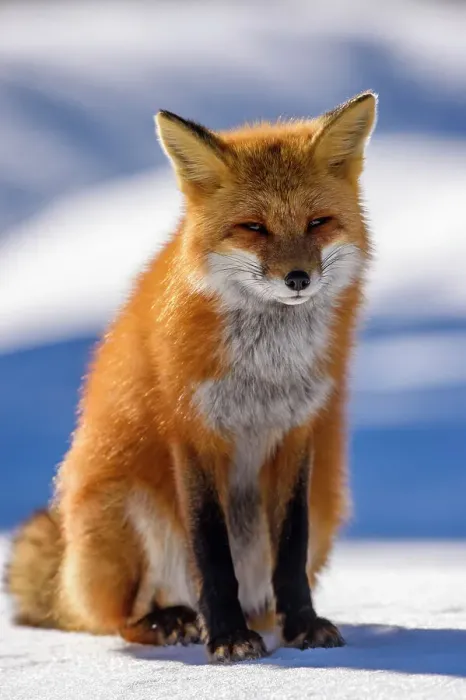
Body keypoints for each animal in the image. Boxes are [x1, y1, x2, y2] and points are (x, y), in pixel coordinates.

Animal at [5, 91, 377, 663]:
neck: (264, 372)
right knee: (116, 619)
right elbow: (212, 553)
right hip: (124, 506)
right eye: (253, 227)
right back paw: (171, 621)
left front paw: (302, 626)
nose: (298, 279)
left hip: (327, 506)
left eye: (318, 222)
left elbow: (290, 552)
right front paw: (225, 637)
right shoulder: (194, 433)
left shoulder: (296, 433)